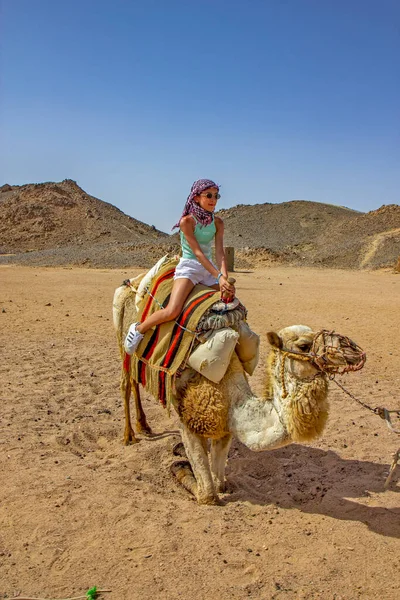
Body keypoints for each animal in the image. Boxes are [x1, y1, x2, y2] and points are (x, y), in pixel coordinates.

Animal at [113, 278, 366, 504]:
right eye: (304, 346)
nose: (353, 349)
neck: (233, 399)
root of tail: (131, 284)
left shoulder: (225, 430)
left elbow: (219, 481)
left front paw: (183, 455)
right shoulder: (188, 422)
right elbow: (207, 494)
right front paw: (180, 465)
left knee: (135, 380)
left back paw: (144, 426)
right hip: (122, 341)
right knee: (126, 383)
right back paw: (129, 436)